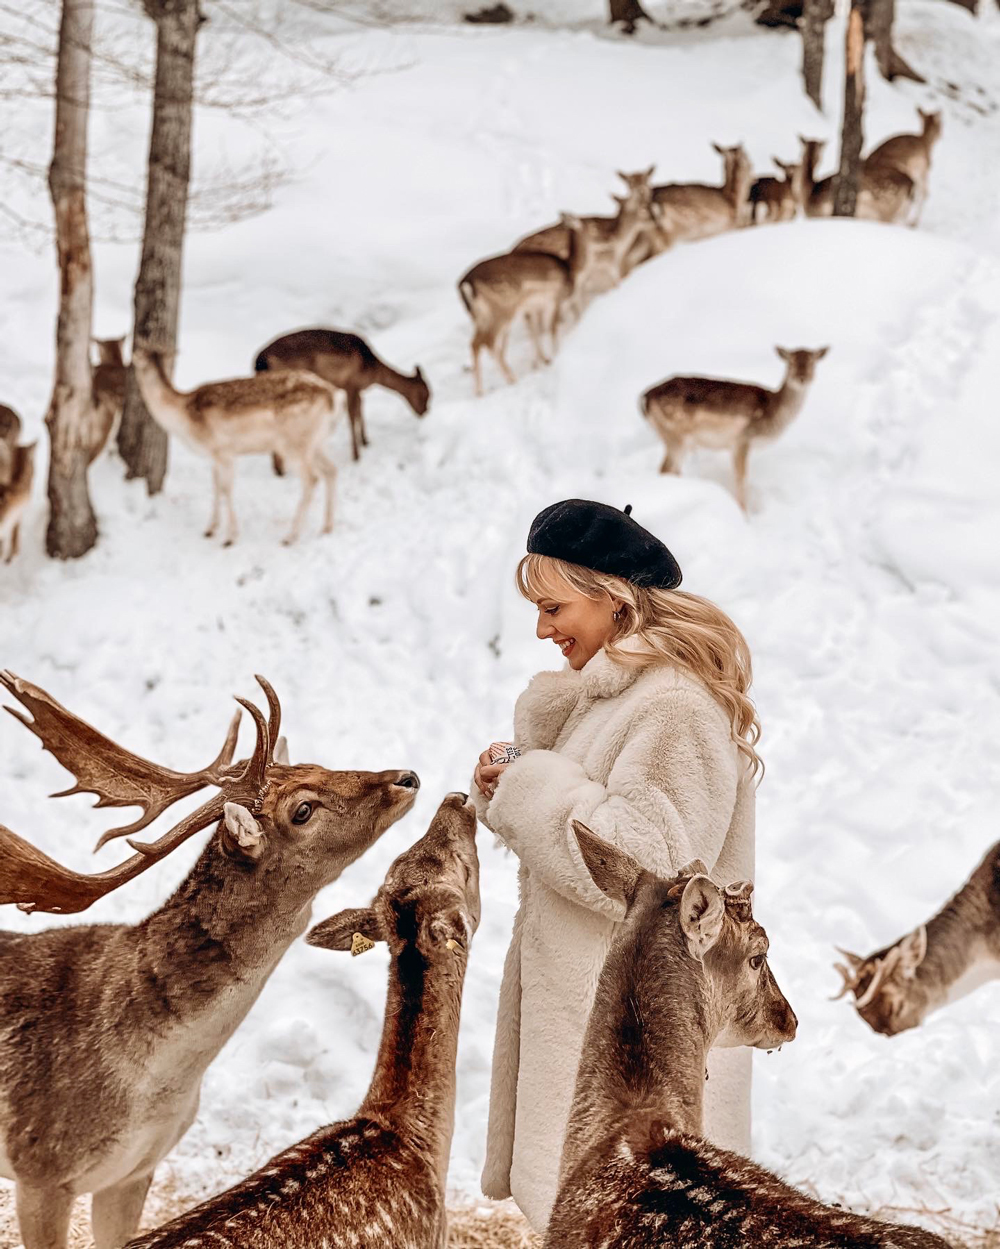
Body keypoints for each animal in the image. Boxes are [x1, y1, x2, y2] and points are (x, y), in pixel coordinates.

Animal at [0, 670, 420, 1249]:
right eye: (303, 809)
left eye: (317, 764)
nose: (407, 777)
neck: (150, 1089)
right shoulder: (38, 1169)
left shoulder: (134, 1169)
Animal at [131, 346, 342, 546]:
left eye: (136, 356)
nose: (131, 362)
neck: (183, 417)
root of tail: (332, 396)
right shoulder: (214, 456)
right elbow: (216, 486)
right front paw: (210, 529)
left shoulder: (224, 452)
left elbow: (226, 489)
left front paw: (229, 538)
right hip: (315, 443)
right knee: (331, 470)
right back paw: (327, 527)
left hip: (295, 444)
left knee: (312, 479)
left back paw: (290, 537)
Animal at [254, 329, 430, 466]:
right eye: (426, 394)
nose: (425, 412)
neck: (372, 372)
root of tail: (259, 363)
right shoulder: (351, 384)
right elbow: (352, 415)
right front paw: (356, 456)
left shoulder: (355, 388)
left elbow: (359, 410)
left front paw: (365, 441)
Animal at [458, 213, 596, 396]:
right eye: (588, 225)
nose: (598, 233)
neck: (572, 271)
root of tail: (465, 284)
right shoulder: (555, 299)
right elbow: (552, 329)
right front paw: (554, 355)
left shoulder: (534, 307)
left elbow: (535, 331)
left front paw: (541, 360)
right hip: (502, 309)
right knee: (488, 343)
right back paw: (509, 379)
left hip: (479, 316)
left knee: (475, 343)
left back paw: (480, 390)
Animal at [640, 345, 829, 511]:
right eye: (790, 362)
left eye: (813, 362)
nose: (802, 377)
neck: (773, 414)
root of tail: (644, 398)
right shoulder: (742, 439)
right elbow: (741, 479)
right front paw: (745, 516)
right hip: (674, 435)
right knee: (665, 469)